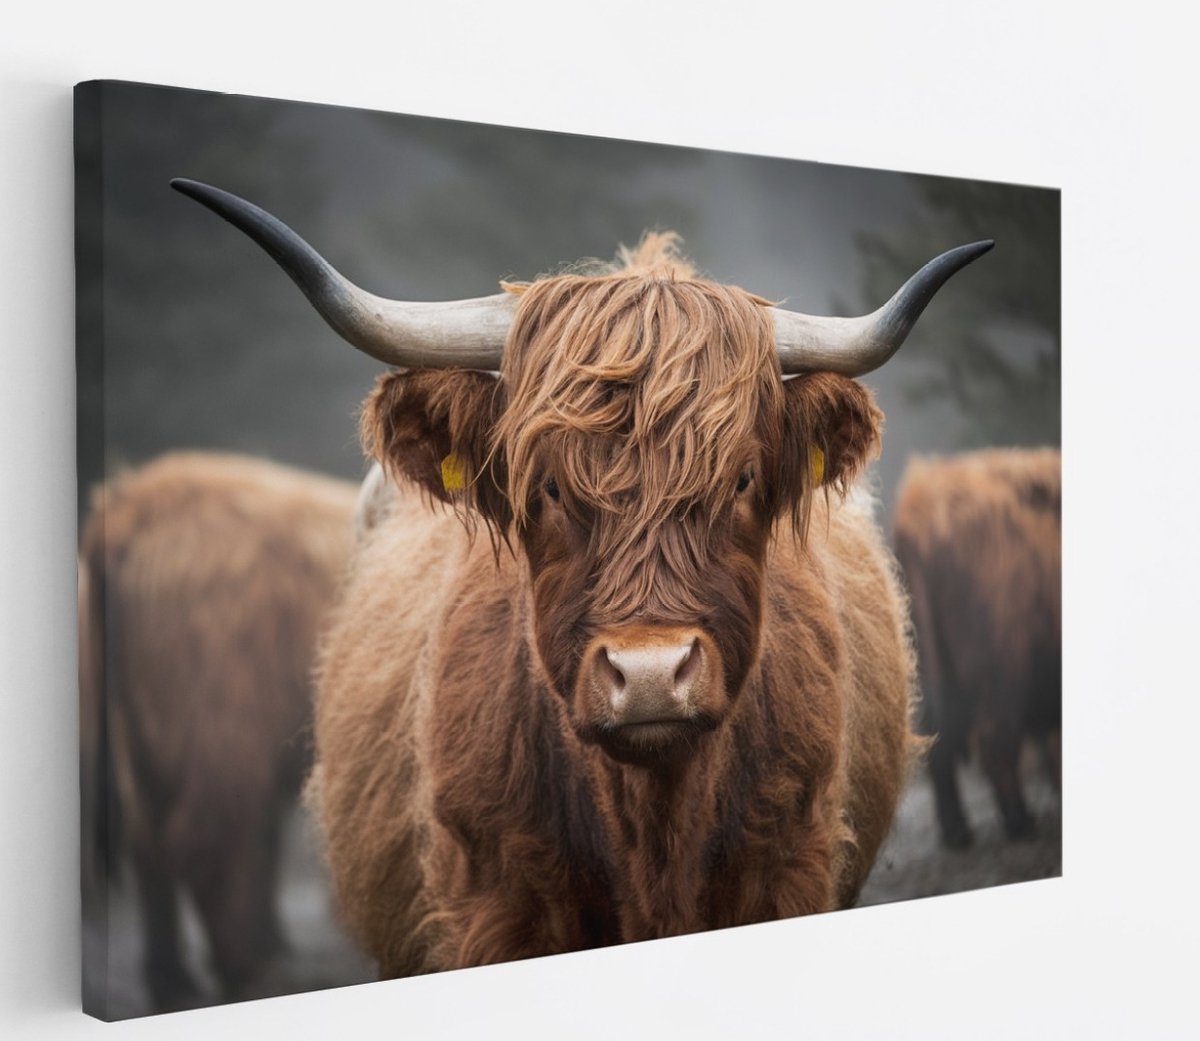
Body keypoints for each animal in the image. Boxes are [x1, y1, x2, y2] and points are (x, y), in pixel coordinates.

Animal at [79, 452, 358, 1010]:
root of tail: (133, 504)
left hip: (147, 735)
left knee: (153, 846)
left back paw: (172, 978)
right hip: (220, 719)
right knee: (205, 840)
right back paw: (247, 973)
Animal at [172, 178, 991, 976]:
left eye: (743, 478)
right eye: (549, 488)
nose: (652, 674)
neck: (653, 831)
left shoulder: (789, 864)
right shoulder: (497, 905)